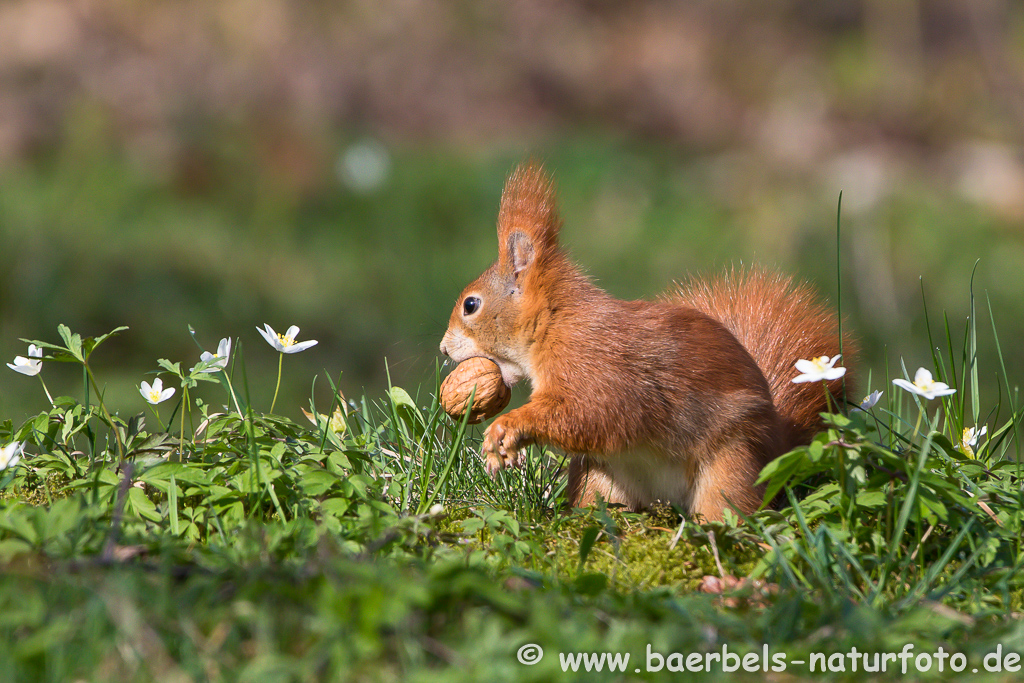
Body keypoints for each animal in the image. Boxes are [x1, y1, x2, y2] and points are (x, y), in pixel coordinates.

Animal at [438, 162, 847, 520]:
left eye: (471, 305)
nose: (442, 348)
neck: (556, 324)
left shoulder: (595, 366)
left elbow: (587, 414)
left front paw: (507, 429)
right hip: (599, 477)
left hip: (731, 465)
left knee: (728, 508)